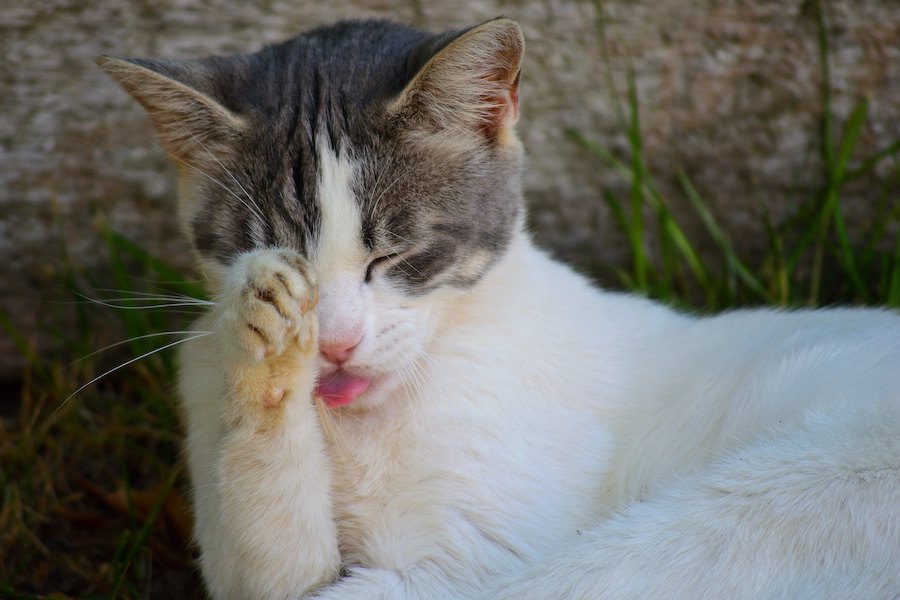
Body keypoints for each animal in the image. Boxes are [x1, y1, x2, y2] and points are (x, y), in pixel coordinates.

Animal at [98, 16, 900, 596]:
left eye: (396, 255)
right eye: (264, 245)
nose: (334, 342)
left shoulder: (471, 556)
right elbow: (271, 551)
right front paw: (262, 330)